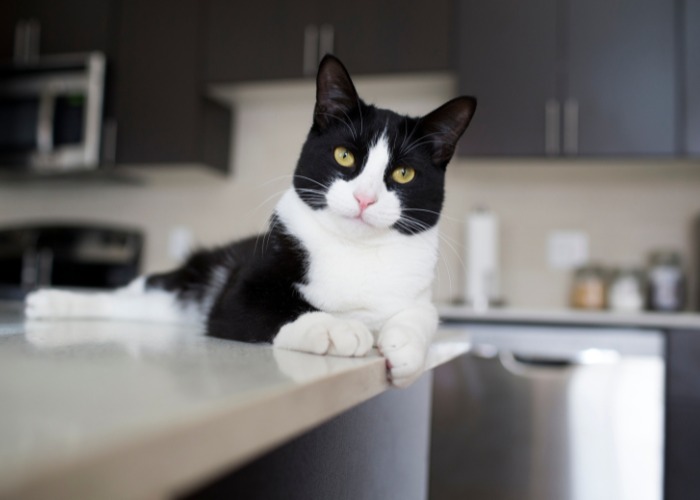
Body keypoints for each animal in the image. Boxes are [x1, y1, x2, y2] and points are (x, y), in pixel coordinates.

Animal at [24, 56, 478, 388]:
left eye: (404, 174)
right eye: (344, 155)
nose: (364, 198)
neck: (354, 250)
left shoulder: (416, 292)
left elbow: (424, 315)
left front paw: (404, 349)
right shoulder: (237, 292)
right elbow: (273, 306)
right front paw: (335, 328)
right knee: (129, 294)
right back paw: (50, 301)